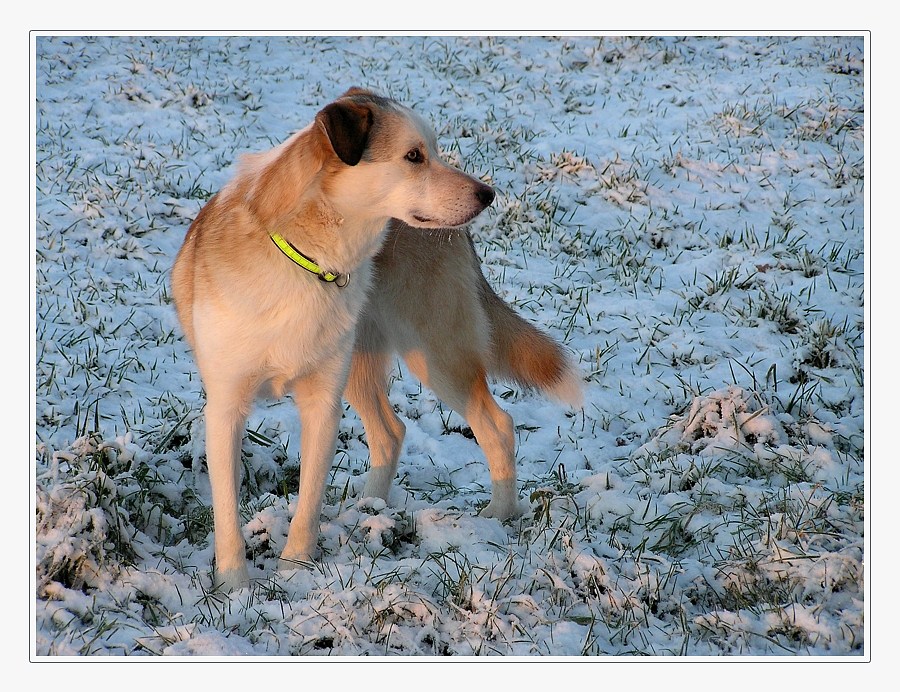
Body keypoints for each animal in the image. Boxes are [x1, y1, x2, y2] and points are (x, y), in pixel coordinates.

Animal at [171, 86, 580, 592]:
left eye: (432, 151)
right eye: (413, 156)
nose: (487, 195)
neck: (305, 255)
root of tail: (461, 236)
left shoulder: (322, 402)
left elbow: (309, 499)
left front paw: (296, 571)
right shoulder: (226, 407)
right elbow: (227, 509)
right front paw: (234, 585)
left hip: (434, 352)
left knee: (495, 424)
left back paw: (499, 515)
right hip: (366, 362)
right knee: (390, 431)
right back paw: (371, 509)